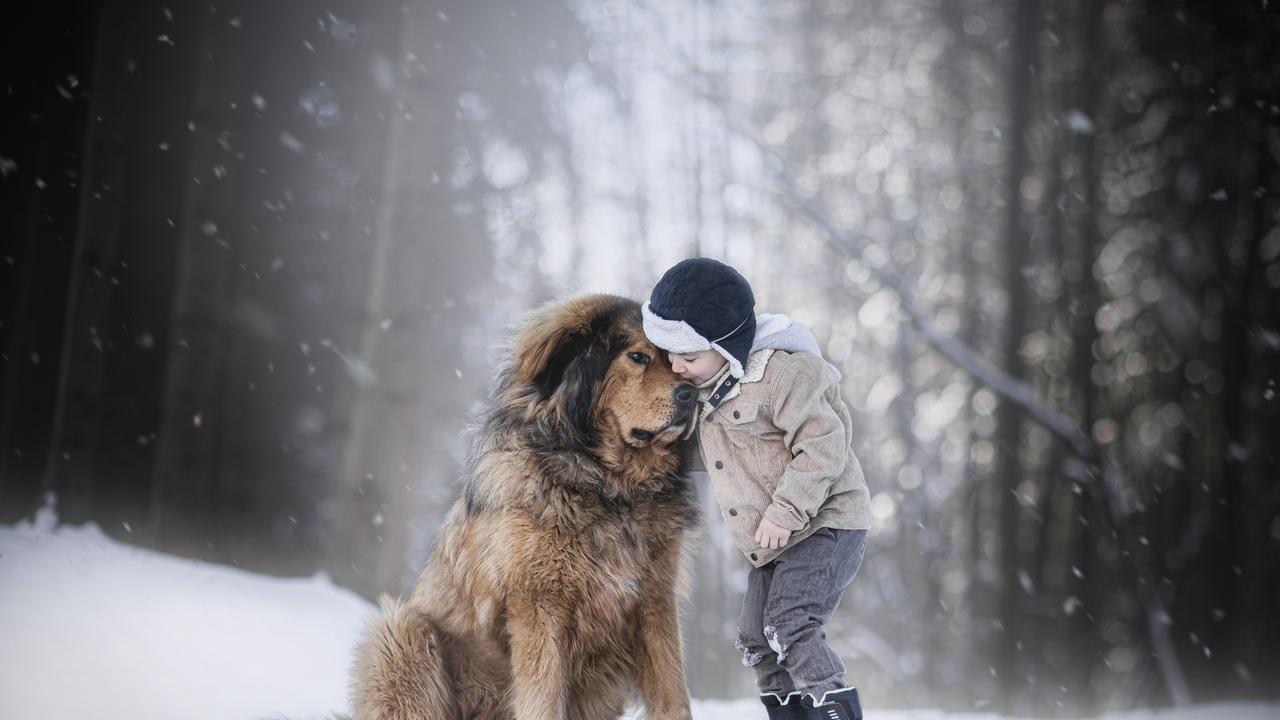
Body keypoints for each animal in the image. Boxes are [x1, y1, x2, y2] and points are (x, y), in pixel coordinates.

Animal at [353, 294, 701, 712]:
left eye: (683, 363)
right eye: (638, 356)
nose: (693, 395)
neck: (611, 490)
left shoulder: (654, 604)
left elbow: (674, 697)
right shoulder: (539, 607)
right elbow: (543, 700)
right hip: (401, 634)